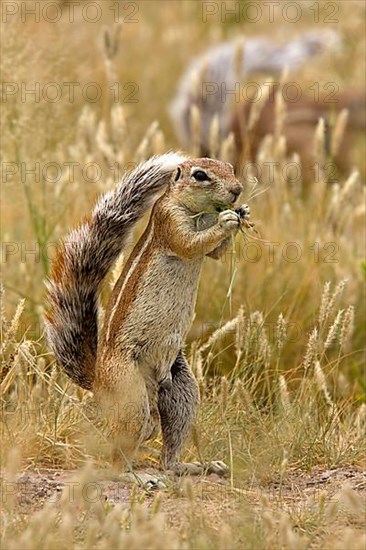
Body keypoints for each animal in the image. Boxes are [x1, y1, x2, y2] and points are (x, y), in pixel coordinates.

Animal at [44, 155, 247, 478]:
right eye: (200, 175)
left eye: (229, 167)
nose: (237, 190)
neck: (200, 212)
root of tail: (98, 380)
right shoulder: (169, 221)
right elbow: (190, 244)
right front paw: (226, 220)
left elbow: (215, 253)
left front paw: (242, 213)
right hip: (130, 394)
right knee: (118, 457)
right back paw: (138, 476)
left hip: (181, 389)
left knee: (168, 451)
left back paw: (195, 465)